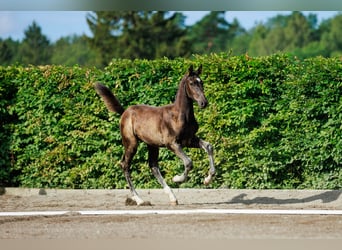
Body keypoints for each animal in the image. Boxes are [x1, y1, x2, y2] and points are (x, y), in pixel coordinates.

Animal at [95, 65, 215, 205]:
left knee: (153, 166)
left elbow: (208, 147)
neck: (179, 115)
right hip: (131, 143)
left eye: (201, 82)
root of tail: (125, 112)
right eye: (192, 83)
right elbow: (188, 162)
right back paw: (139, 199)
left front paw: (207, 179)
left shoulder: (189, 140)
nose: (204, 103)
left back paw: (172, 197)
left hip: (152, 144)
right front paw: (177, 179)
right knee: (125, 165)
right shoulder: (172, 143)